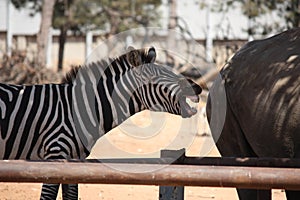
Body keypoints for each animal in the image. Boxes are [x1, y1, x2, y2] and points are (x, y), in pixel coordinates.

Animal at [0, 46, 203, 199]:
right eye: (155, 79)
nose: (198, 87)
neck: (79, 109)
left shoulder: (75, 160)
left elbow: (71, 195)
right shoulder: (55, 154)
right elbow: (48, 196)